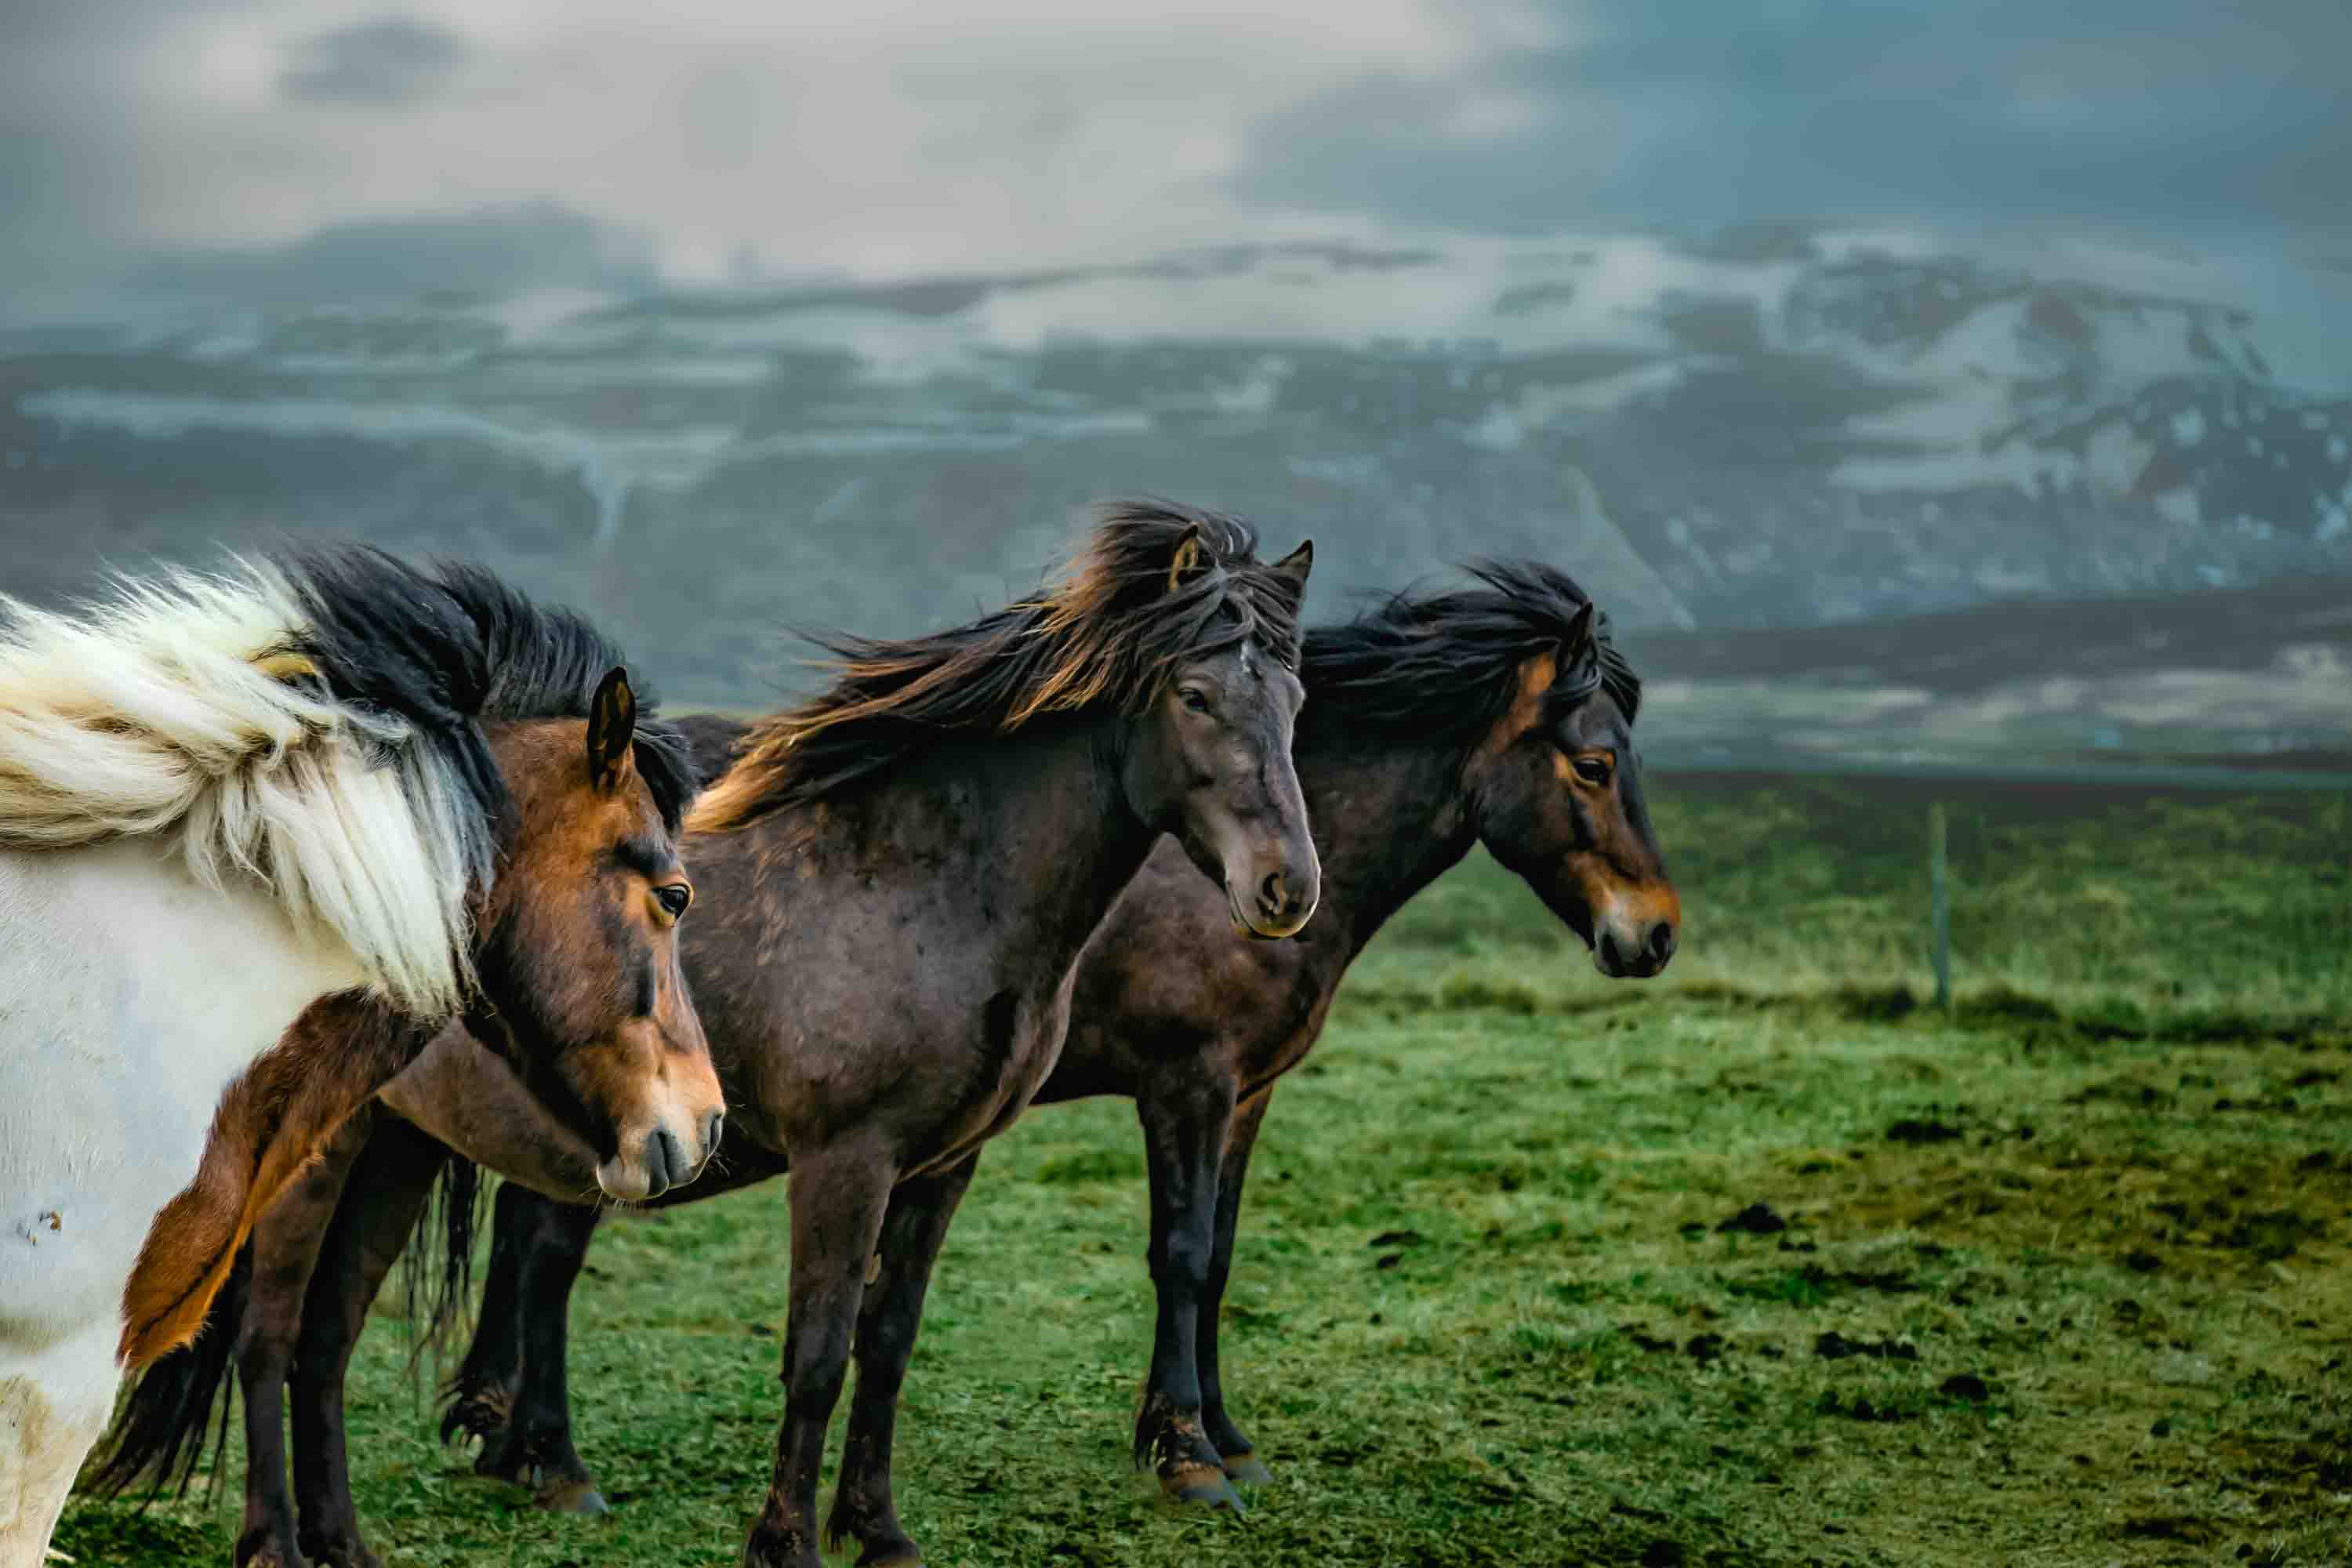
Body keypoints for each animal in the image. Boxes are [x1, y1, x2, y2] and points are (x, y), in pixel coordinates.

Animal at [93, 501, 1320, 1568]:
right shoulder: (845, 1162)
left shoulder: (943, 1168)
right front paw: (787, 1542)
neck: (931, 881)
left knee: (327, 1341)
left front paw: (879, 1531)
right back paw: (274, 1544)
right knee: (268, 1335)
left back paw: (345, 1544)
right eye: (1197, 695)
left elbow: (888, 1346)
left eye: (1297, 700)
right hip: (320, 1152)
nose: (1285, 888)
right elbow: (818, 1356)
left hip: (400, 1144)